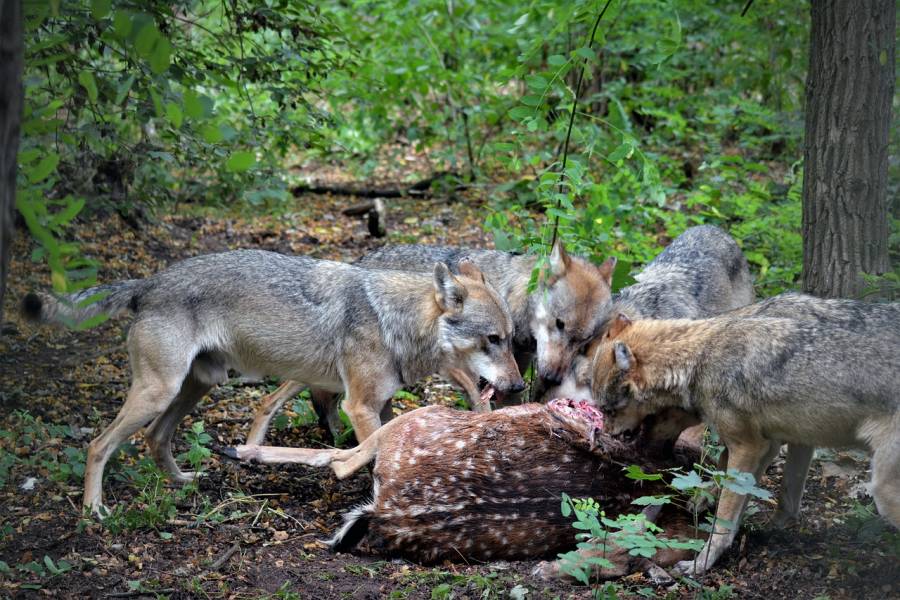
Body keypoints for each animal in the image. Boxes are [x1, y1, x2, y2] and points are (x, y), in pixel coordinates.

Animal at [244, 239, 620, 446]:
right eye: (559, 324)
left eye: (584, 340)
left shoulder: (512, 373)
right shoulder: (472, 374)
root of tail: (362, 260)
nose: (553, 377)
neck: (512, 294)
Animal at [592, 304, 900, 576]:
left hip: (883, 492)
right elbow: (774, 500)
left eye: (608, 410)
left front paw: (700, 564)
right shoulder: (772, 444)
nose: (606, 434)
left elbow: (723, 519)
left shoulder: (748, 447)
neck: (699, 358)